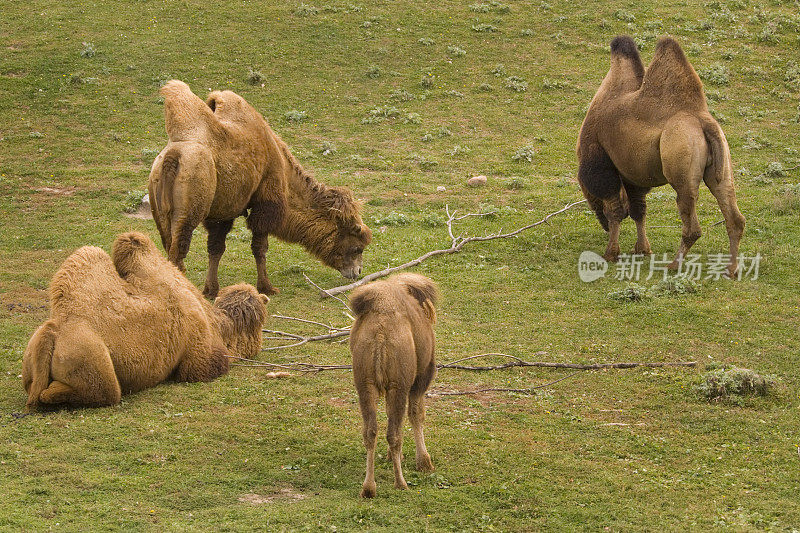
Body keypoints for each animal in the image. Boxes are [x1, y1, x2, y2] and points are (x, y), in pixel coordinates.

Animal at [21, 231, 270, 410]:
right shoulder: (199, 357)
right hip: (90, 360)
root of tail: (53, 331)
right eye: (260, 323)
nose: (259, 344)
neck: (216, 323)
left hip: (31, 358)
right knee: (97, 392)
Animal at [149, 79, 372, 298]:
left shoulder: (222, 212)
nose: (357, 272)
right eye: (357, 248)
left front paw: (211, 290)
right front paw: (267, 287)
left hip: (159, 207)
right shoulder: (266, 203)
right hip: (190, 209)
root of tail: (173, 157)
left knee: (169, 246)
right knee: (178, 251)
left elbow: (216, 248)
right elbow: (260, 247)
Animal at [348, 272, 438, 496]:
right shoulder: (420, 379)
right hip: (400, 384)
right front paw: (424, 462)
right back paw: (400, 483)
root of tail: (380, 334)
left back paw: (368, 488)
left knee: (370, 431)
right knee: (394, 433)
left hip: (365, 384)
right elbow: (416, 414)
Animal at [576, 35, 744, 276]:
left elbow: (615, 210)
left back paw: (674, 264)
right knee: (733, 215)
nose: (603, 227)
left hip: (681, 162)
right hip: (722, 164)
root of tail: (703, 121)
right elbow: (639, 209)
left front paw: (611, 253)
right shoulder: (633, 175)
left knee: (691, 222)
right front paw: (642, 250)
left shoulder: (601, 163)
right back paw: (731, 269)